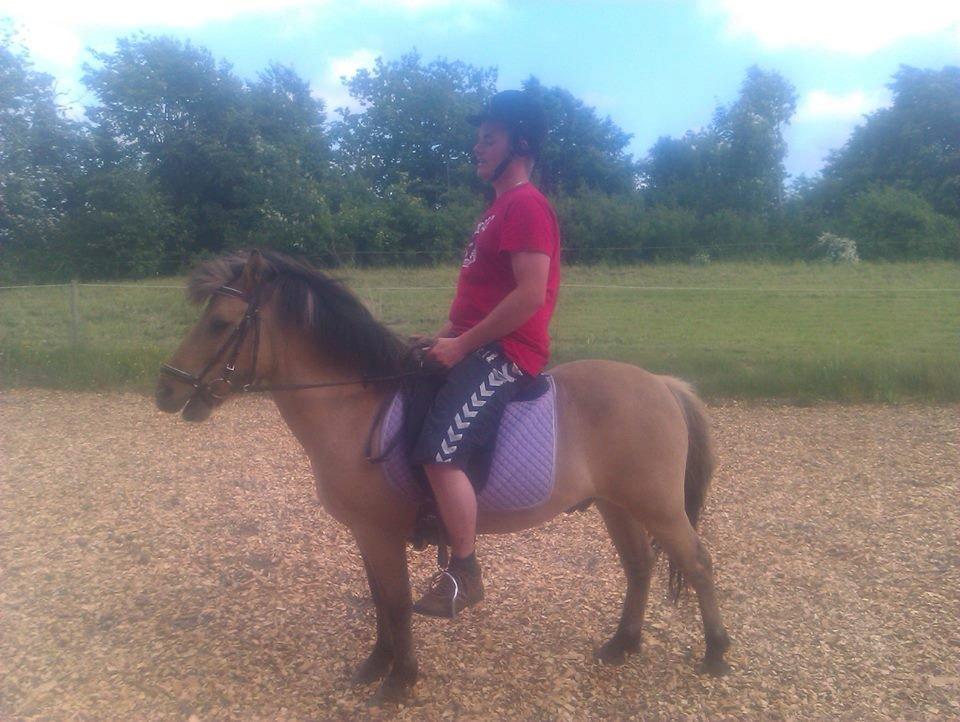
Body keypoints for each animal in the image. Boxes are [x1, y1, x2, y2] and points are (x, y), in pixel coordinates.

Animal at [155, 249, 731, 704]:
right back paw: (622, 645)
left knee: (698, 564)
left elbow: (396, 603)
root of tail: (660, 383)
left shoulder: (379, 533)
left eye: (220, 322)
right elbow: (381, 601)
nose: (166, 389)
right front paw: (376, 664)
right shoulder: (368, 534)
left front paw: (400, 680)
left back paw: (716, 653)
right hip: (619, 505)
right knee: (639, 567)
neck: (356, 406)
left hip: (657, 506)